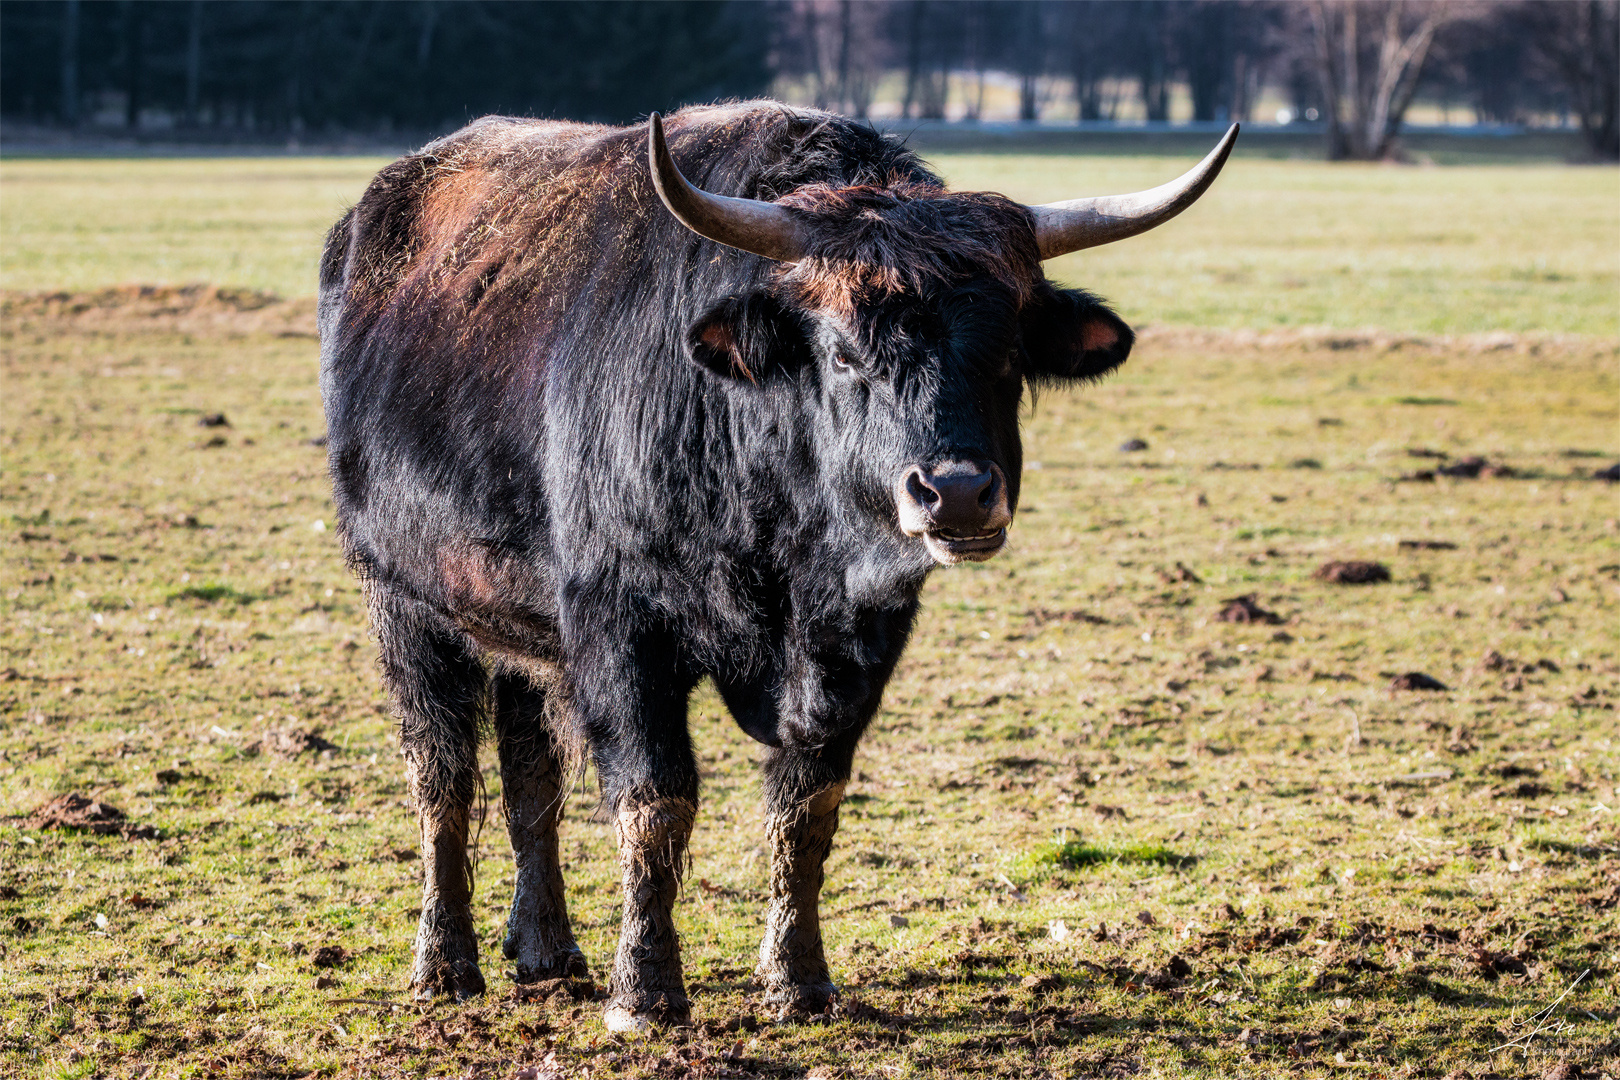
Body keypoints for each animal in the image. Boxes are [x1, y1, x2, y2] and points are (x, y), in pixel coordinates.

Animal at [315, 101, 1231, 1029]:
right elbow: (654, 803)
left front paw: (799, 980)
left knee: (528, 772)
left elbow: (805, 811)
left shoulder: (857, 649)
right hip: (405, 603)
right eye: (843, 353)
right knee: (442, 775)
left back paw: (545, 953)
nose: (958, 493)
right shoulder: (619, 630)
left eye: (1008, 350)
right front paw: (645, 992)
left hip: (511, 621)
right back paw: (444, 963)